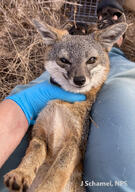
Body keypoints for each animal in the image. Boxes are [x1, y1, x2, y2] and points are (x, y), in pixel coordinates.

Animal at [3, 19, 126, 192]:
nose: (80, 80)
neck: (61, 106)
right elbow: (32, 156)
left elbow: (56, 173)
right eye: (64, 60)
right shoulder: (39, 135)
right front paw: (21, 173)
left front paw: (45, 189)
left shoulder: (75, 144)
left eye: (91, 60)